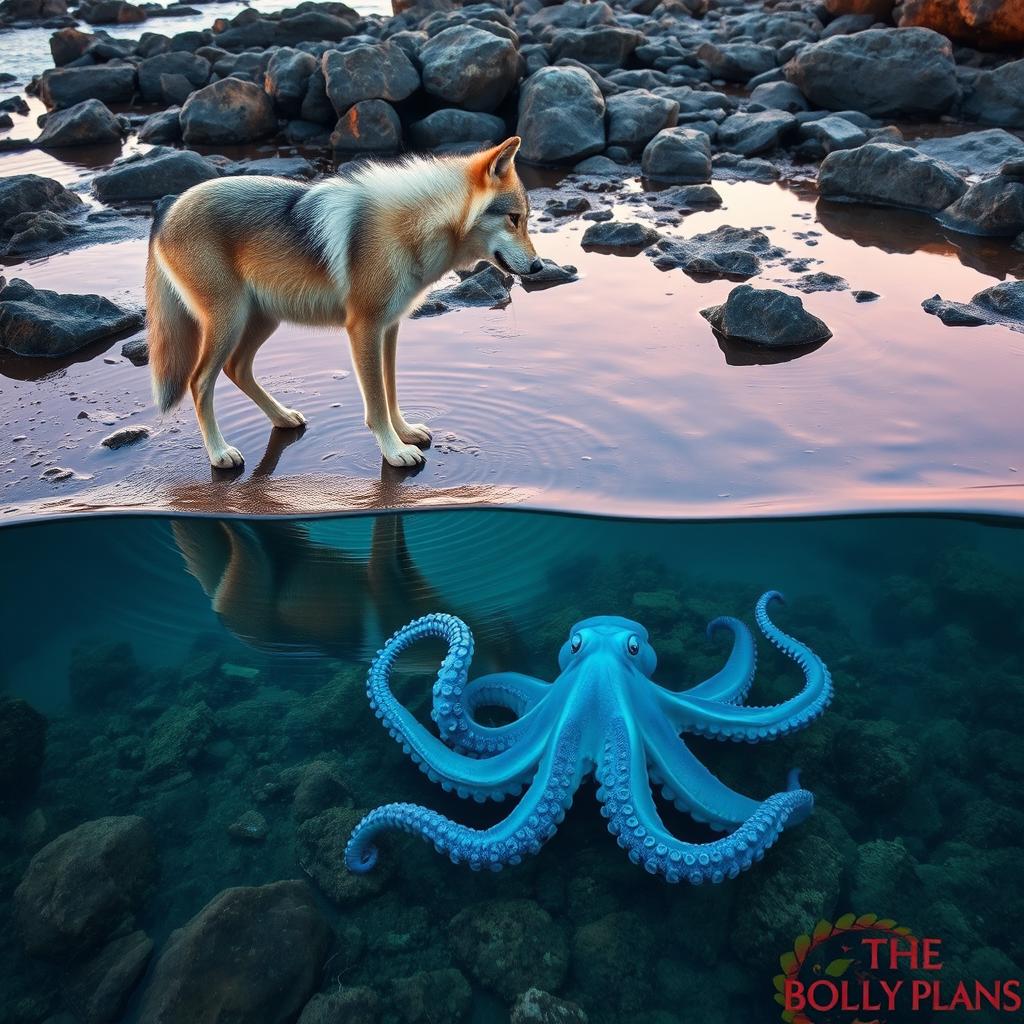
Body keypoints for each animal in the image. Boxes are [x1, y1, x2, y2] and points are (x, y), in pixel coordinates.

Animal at [148, 136, 544, 468]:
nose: (539, 266)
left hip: (262, 320)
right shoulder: (363, 329)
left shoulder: (389, 328)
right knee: (199, 382)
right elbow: (376, 403)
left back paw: (282, 418)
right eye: (514, 219)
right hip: (229, 322)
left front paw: (404, 433)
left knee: (237, 369)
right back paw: (219, 453)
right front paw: (395, 451)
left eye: (525, 220)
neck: (408, 226)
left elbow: (390, 390)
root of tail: (165, 213)